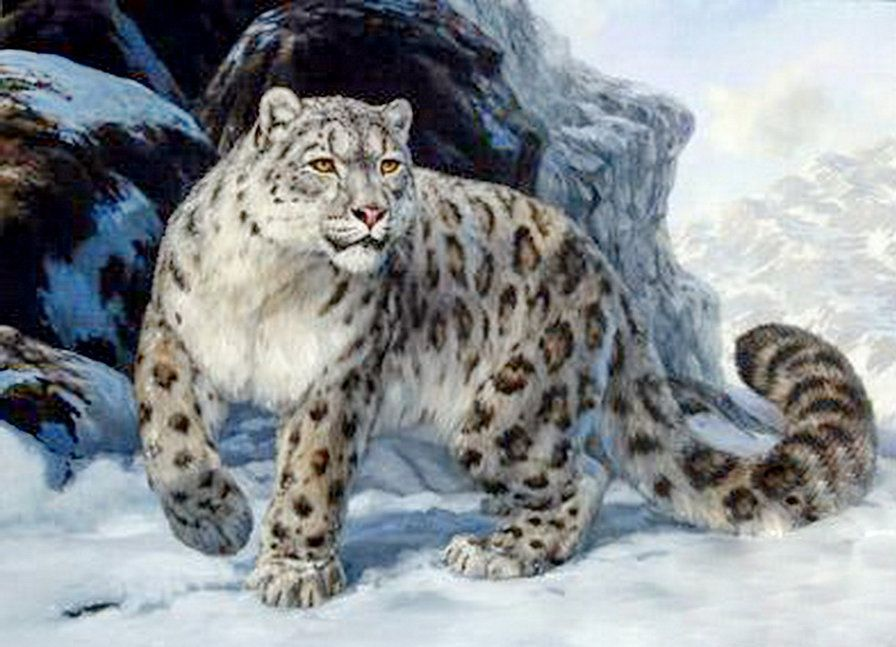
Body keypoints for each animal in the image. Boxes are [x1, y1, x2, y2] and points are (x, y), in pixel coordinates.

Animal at [134, 87, 877, 608]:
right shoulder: (174, 332)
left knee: (585, 473)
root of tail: (609, 276)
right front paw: (213, 520)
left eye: (388, 164)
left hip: (507, 414)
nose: (373, 211)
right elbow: (168, 432)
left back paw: (498, 551)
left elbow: (312, 474)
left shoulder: (338, 374)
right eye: (322, 162)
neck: (271, 283)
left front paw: (293, 571)